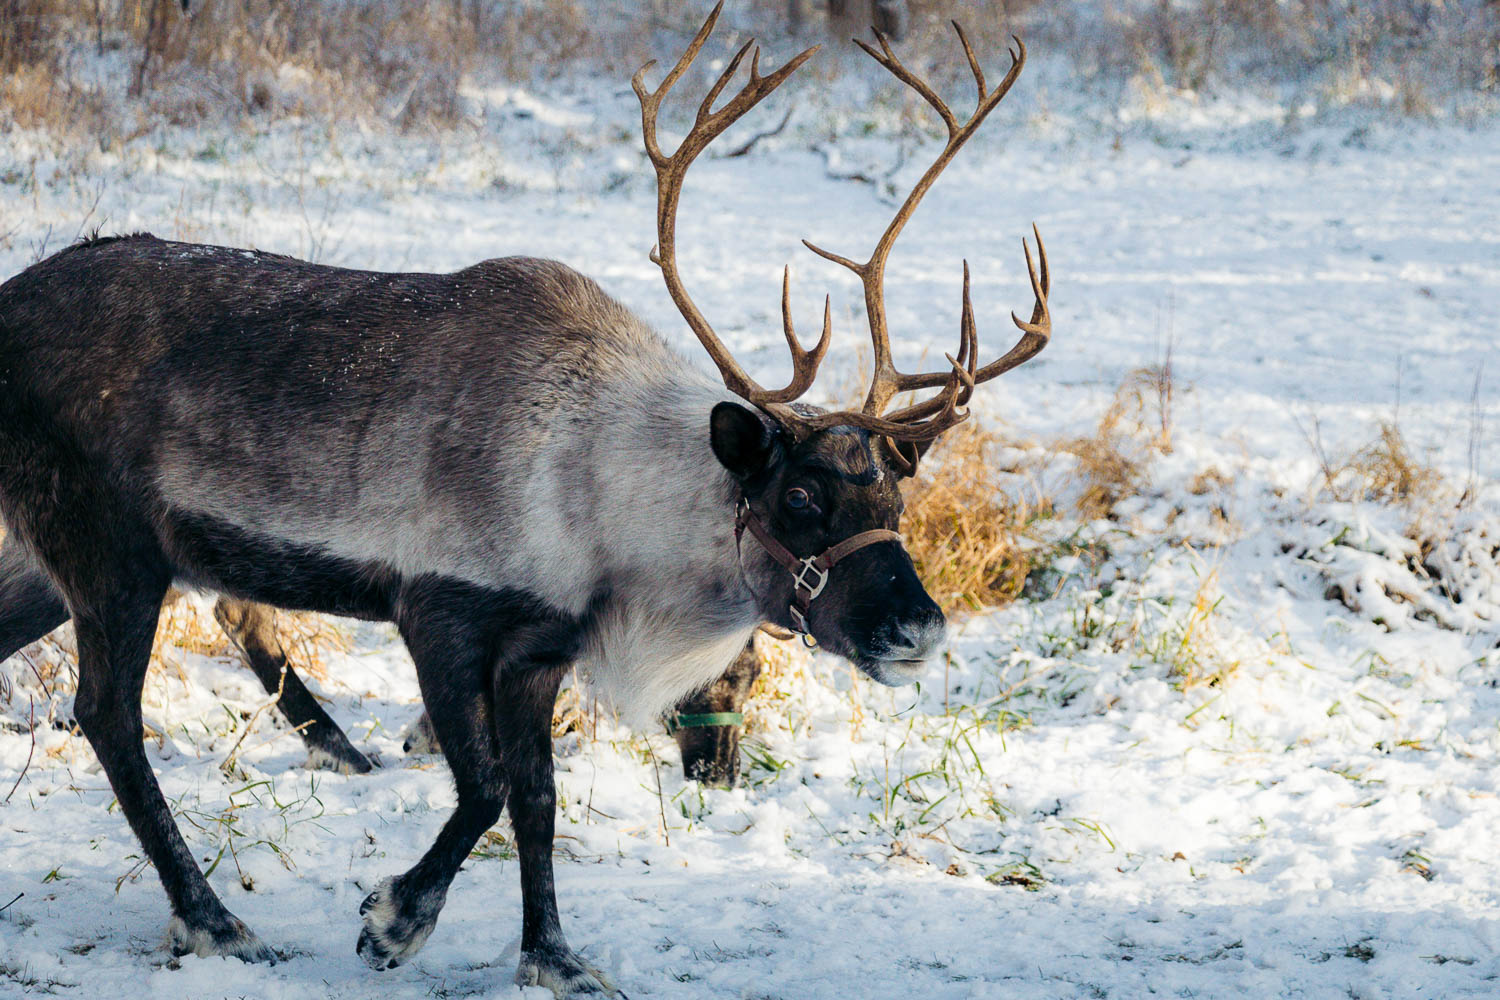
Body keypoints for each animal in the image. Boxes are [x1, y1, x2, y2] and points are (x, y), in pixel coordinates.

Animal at [0, 4, 1048, 995]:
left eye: (896, 500)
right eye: (798, 492)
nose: (920, 629)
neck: (606, 498)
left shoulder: (541, 649)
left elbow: (535, 803)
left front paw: (551, 956)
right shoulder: (440, 612)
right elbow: (487, 789)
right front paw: (392, 921)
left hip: (38, 564)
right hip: (109, 550)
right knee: (108, 715)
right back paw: (216, 921)